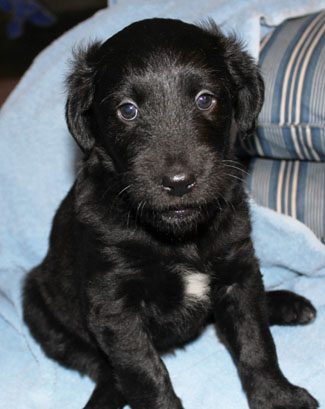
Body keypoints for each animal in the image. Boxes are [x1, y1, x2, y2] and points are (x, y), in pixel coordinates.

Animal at [24, 18, 318, 408]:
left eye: (205, 99)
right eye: (127, 110)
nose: (178, 183)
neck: (177, 237)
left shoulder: (238, 269)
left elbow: (256, 341)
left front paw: (277, 395)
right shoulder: (114, 304)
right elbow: (144, 372)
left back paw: (286, 304)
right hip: (38, 305)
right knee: (103, 369)